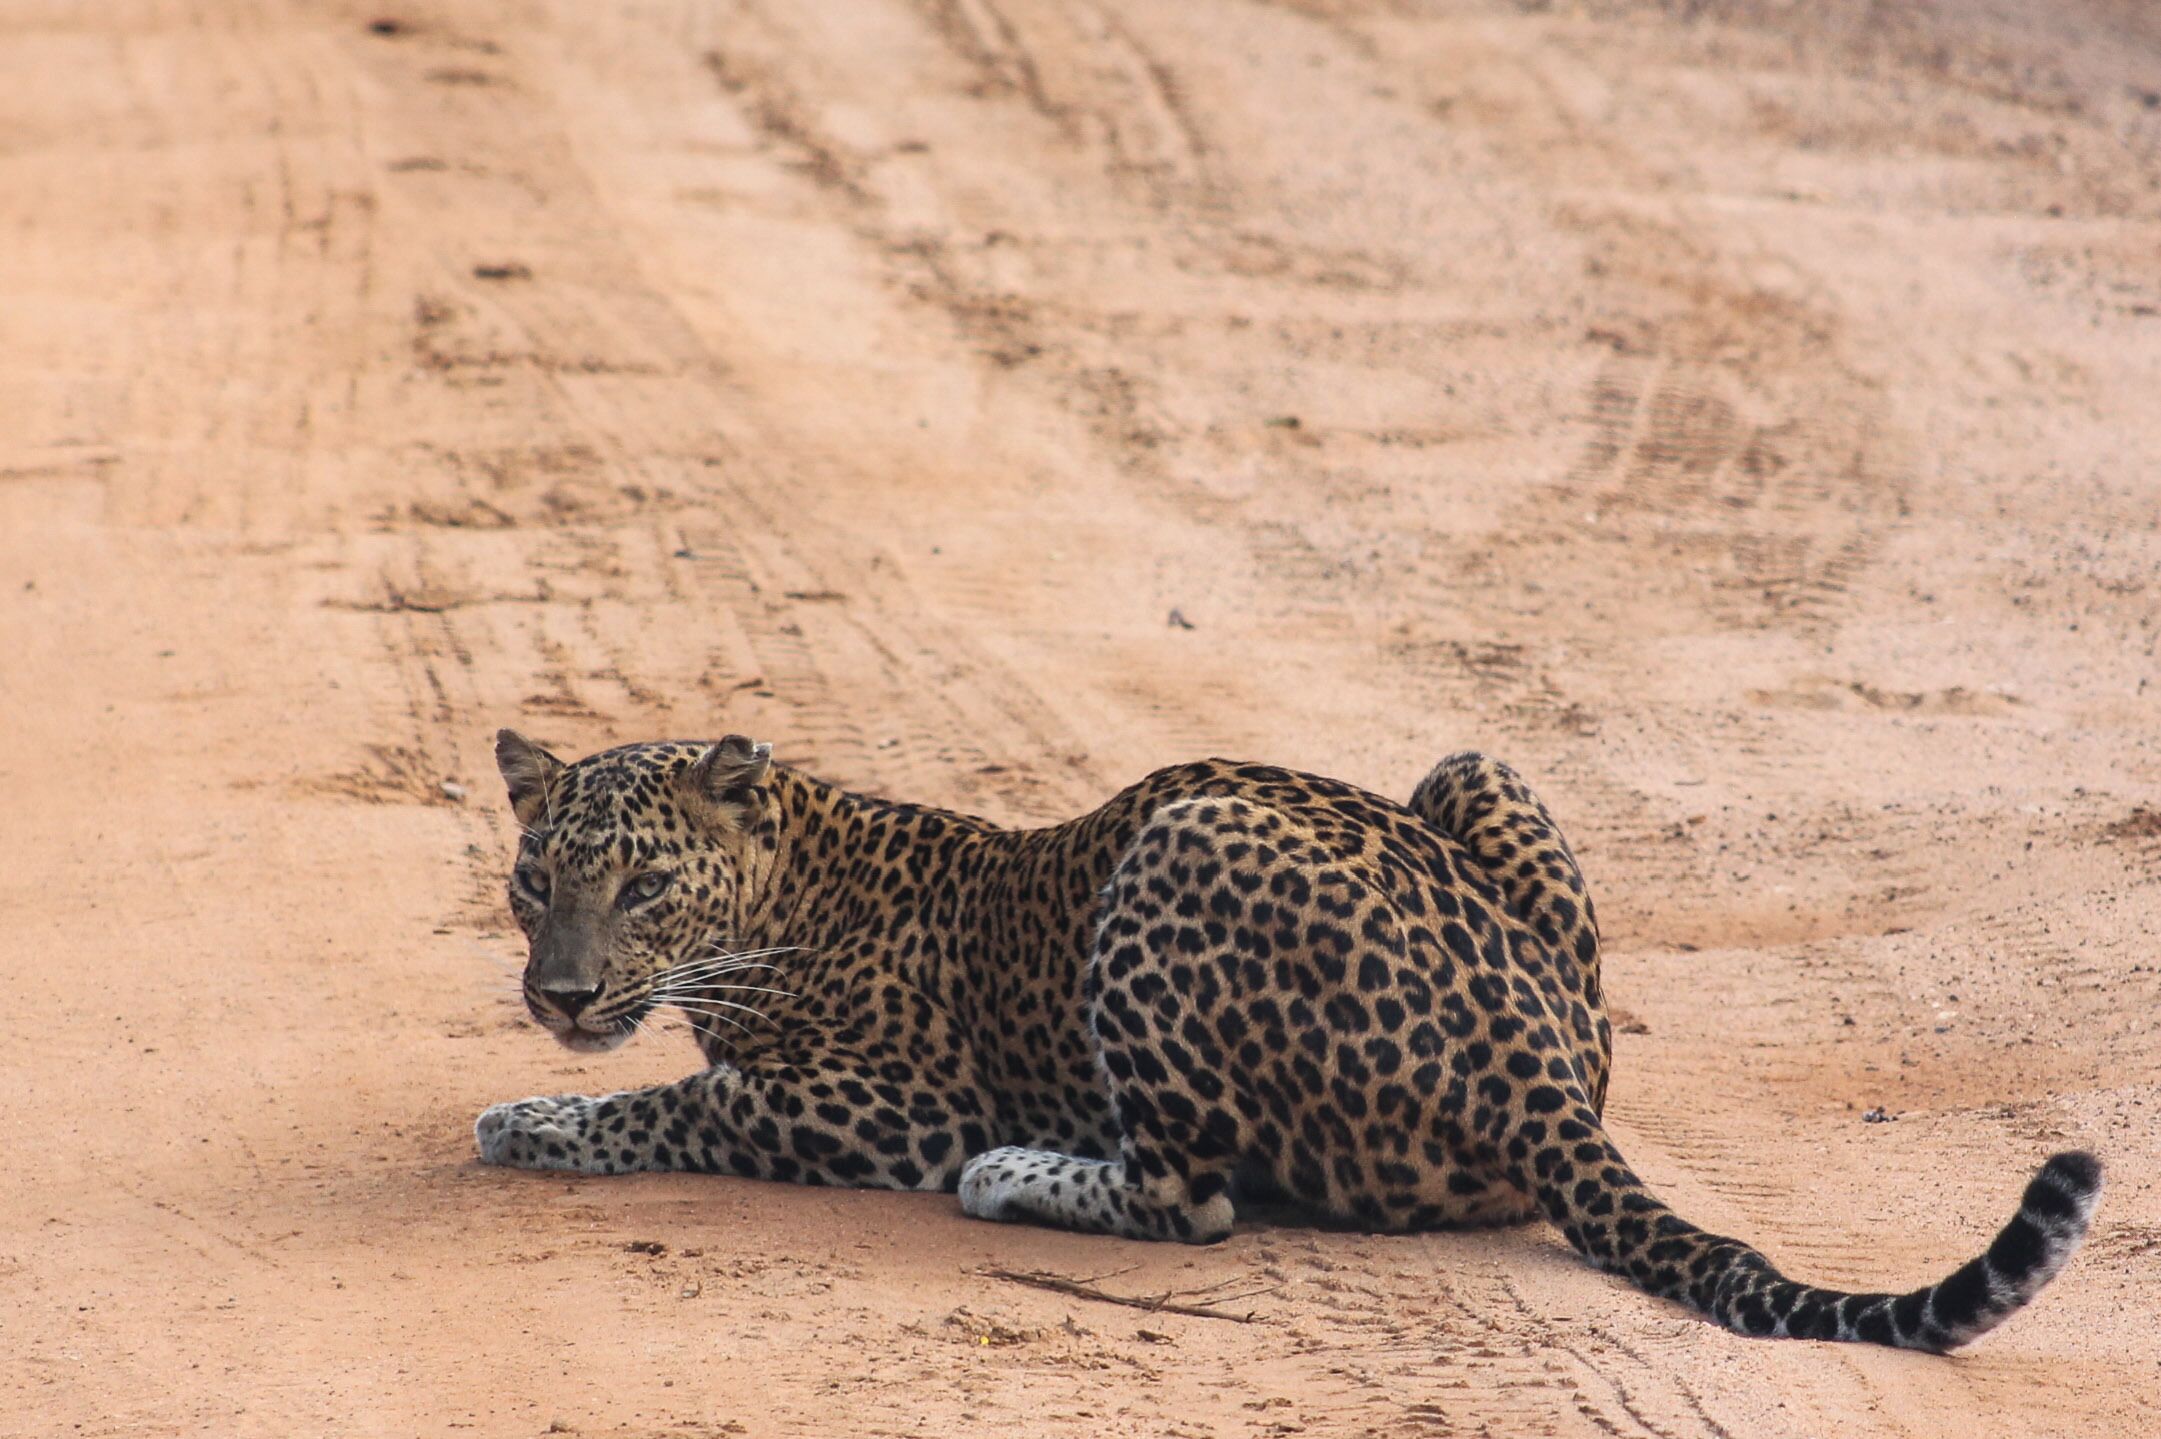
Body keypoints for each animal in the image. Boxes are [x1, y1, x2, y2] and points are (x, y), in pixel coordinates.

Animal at [474, 729, 2101, 1350]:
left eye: (642, 884)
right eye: (533, 879)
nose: (558, 995)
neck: (786, 881)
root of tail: (1541, 1074)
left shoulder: (883, 1105)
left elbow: (683, 1101)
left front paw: (530, 1120)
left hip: (1178, 844)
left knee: (1191, 1197)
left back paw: (1019, 1172)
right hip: (1471, 766)